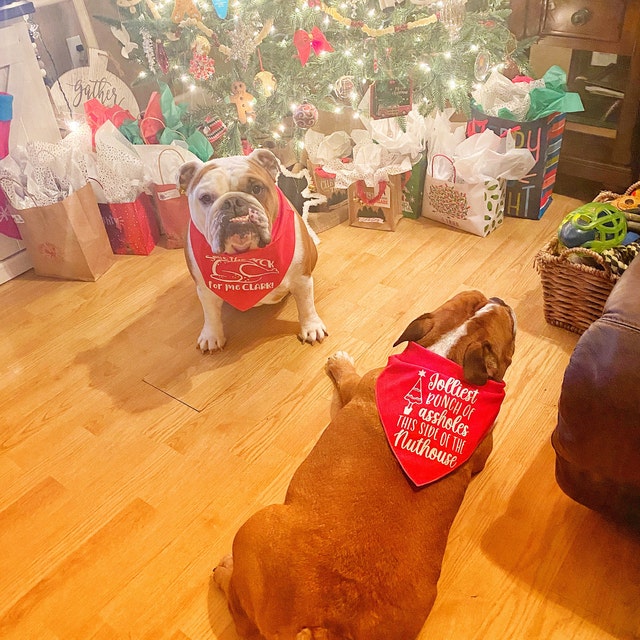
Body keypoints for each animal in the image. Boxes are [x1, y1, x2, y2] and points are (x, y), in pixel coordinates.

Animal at [176, 148, 324, 352]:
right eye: (205, 198)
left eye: (256, 189)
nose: (232, 202)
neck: (246, 254)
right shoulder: (205, 289)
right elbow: (210, 313)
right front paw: (211, 335)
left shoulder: (301, 279)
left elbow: (306, 306)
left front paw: (311, 327)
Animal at [214, 292, 516, 640]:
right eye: (476, 297)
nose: (500, 298)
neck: (452, 355)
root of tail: (322, 623)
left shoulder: (356, 385)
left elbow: (347, 376)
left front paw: (339, 361)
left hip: (256, 526)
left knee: (239, 613)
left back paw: (223, 571)